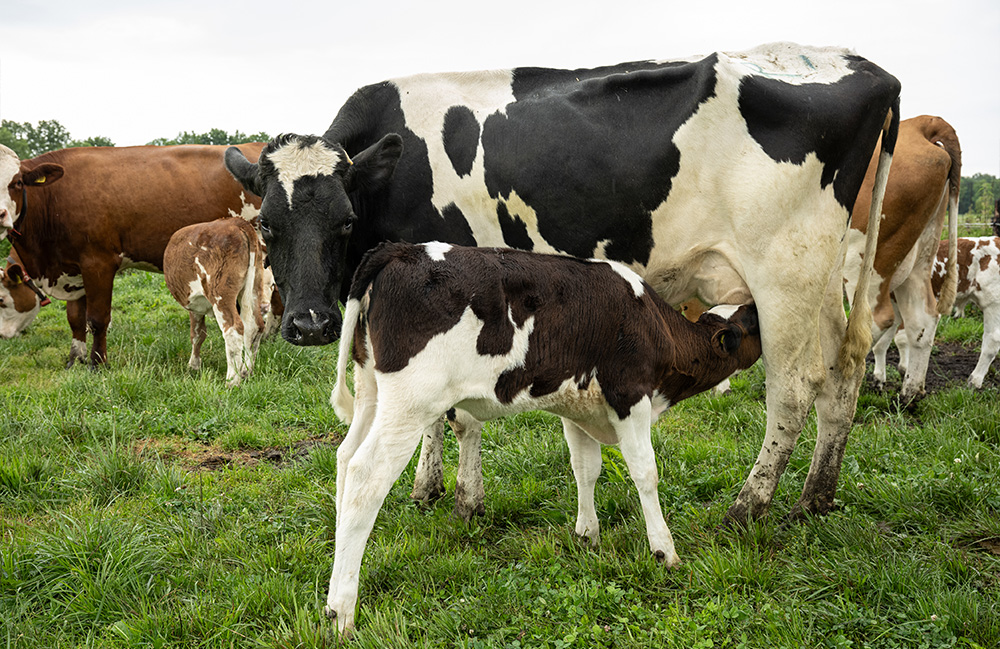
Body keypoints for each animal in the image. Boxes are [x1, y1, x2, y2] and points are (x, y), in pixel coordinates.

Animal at [0, 142, 265, 367]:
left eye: (17, 183)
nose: (3, 336)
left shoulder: (98, 263)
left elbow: (97, 319)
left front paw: (98, 364)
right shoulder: (72, 269)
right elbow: (75, 319)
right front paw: (75, 360)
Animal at [163, 217, 270, 387]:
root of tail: (237, 223)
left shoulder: (195, 307)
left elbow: (196, 334)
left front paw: (193, 365)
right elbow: (199, 333)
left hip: (220, 293)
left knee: (234, 329)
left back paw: (232, 381)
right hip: (254, 288)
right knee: (255, 327)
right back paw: (246, 373)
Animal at [225, 42, 900, 526]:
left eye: (344, 221)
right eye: (267, 224)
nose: (309, 323)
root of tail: (866, 68)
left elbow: (459, 416)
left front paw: (465, 499)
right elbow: (435, 415)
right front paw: (427, 487)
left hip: (784, 272)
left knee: (794, 389)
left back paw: (749, 505)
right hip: (822, 275)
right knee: (843, 371)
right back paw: (814, 497)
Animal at [326, 241, 762, 635]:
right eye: (750, 325)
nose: (757, 304)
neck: (651, 322)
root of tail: (398, 250)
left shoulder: (578, 406)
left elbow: (585, 469)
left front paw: (587, 535)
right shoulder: (629, 395)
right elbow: (645, 474)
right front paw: (664, 550)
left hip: (371, 390)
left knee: (345, 458)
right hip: (411, 401)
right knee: (366, 475)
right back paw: (341, 610)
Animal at [843, 116, 961, 401]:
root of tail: (921, 123)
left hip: (863, 258)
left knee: (873, 320)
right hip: (920, 257)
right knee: (923, 318)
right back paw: (910, 394)